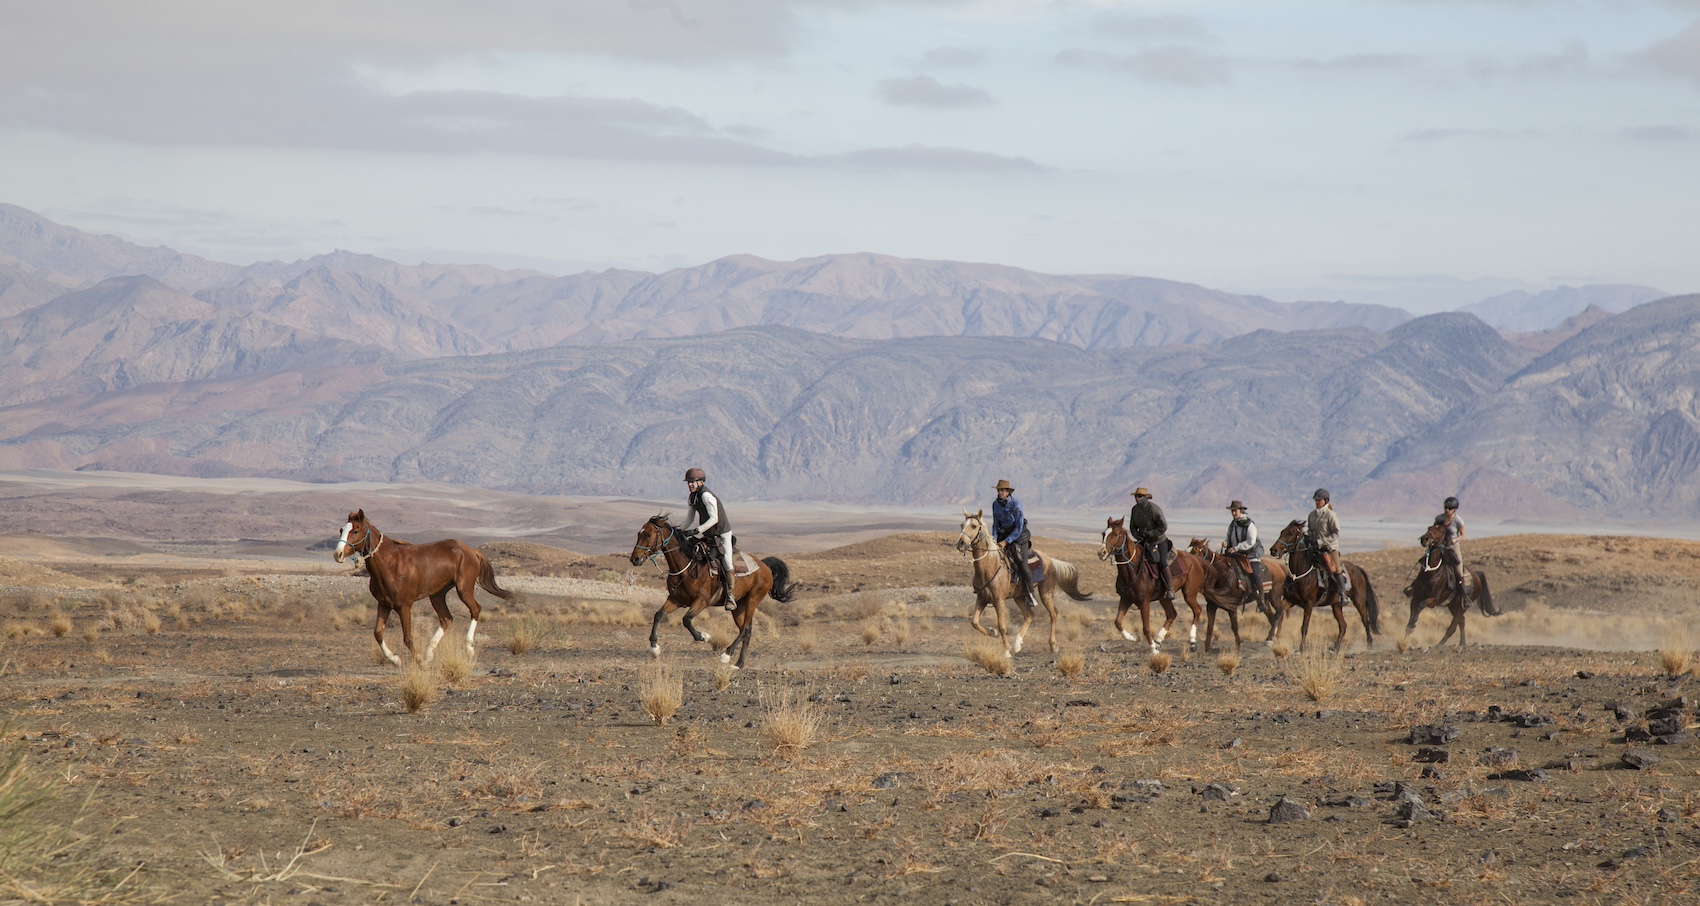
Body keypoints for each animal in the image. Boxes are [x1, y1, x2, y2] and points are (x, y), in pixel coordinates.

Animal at [331, 509, 513, 662]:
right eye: (341, 530)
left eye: (355, 530)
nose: (338, 554)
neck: (390, 564)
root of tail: (471, 551)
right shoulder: (384, 604)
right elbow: (378, 633)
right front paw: (396, 660)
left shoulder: (404, 606)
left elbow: (408, 638)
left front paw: (418, 661)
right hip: (437, 594)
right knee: (446, 618)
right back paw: (429, 653)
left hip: (464, 589)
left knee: (475, 610)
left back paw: (468, 649)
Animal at [632, 513, 795, 666]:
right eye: (639, 533)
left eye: (648, 534)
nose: (634, 559)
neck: (687, 566)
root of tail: (765, 566)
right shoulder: (675, 599)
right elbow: (658, 615)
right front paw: (654, 648)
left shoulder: (702, 601)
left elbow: (686, 620)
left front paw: (704, 637)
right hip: (738, 607)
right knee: (746, 630)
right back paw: (738, 664)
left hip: (752, 600)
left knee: (745, 629)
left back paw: (727, 655)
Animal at [958, 513, 1088, 652]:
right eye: (961, 525)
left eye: (974, 526)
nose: (960, 543)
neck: (990, 566)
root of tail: (1051, 561)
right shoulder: (982, 598)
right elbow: (974, 622)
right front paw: (993, 633)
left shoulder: (999, 600)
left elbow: (1002, 626)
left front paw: (1006, 650)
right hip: (1019, 596)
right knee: (1030, 615)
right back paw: (1017, 644)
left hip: (1045, 593)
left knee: (1053, 613)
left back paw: (1053, 645)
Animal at [1101, 516, 1210, 649]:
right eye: (1103, 534)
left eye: (1116, 534)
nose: (1101, 553)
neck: (1134, 569)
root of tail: (1195, 560)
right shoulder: (1126, 599)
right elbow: (1118, 622)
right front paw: (1134, 637)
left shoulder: (1144, 602)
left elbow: (1146, 628)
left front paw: (1153, 649)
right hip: (1164, 598)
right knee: (1172, 614)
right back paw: (1158, 639)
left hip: (1189, 593)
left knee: (1197, 610)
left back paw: (1192, 640)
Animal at [1264, 520, 1380, 652]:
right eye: (1282, 531)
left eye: (1292, 533)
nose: (1273, 550)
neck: (1300, 574)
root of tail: (1357, 568)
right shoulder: (1289, 600)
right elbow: (1277, 614)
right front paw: (1269, 639)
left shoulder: (1309, 604)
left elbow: (1304, 626)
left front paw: (1301, 649)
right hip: (1336, 606)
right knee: (1343, 625)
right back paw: (1335, 648)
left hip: (1359, 601)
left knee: (1365, 620)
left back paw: (1370, 645)